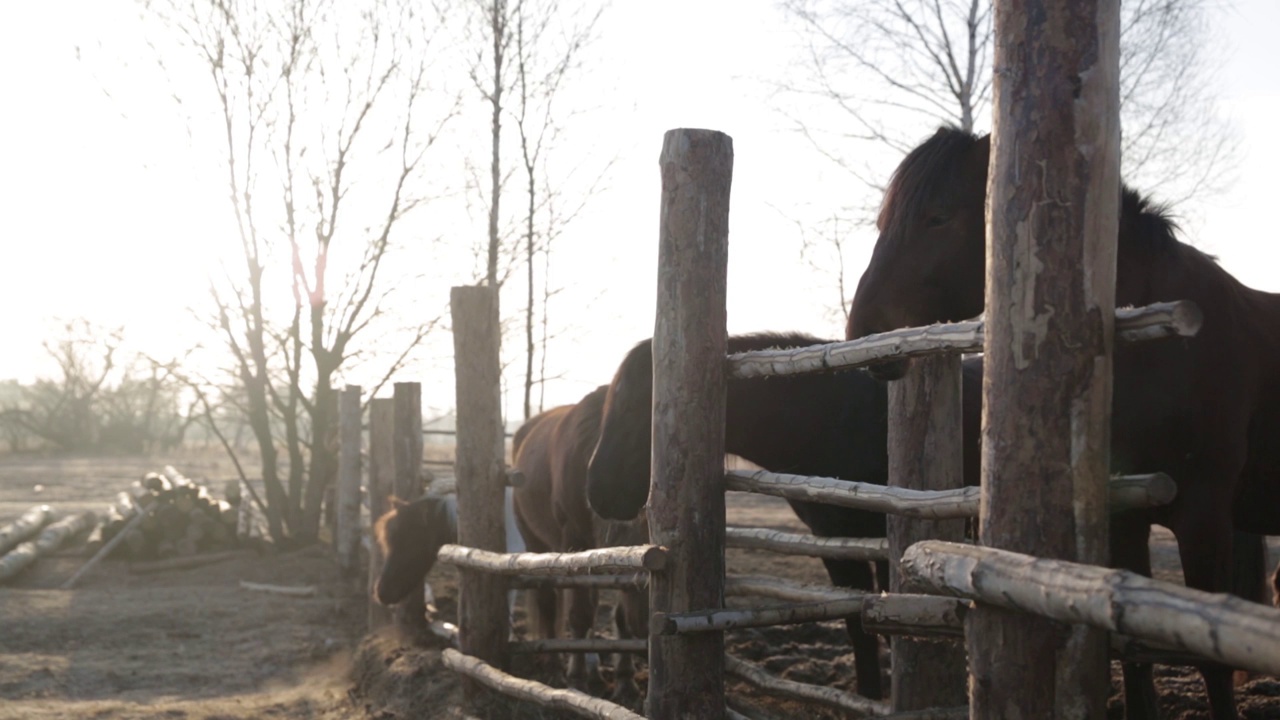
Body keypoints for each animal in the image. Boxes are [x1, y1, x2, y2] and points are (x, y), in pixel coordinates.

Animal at [586, 333, 983, 702]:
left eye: (640, 407)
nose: (597, 491)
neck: (838, 421)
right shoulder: (834, 544)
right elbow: (858, 627)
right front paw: (869, 696)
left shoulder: (888, 546)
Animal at [844, 124, 1274, 717]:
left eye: (938, 216)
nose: (863, 332)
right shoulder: (1126, 516)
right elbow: (1131, 654)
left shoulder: (1204, 515)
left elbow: (1211, 660)